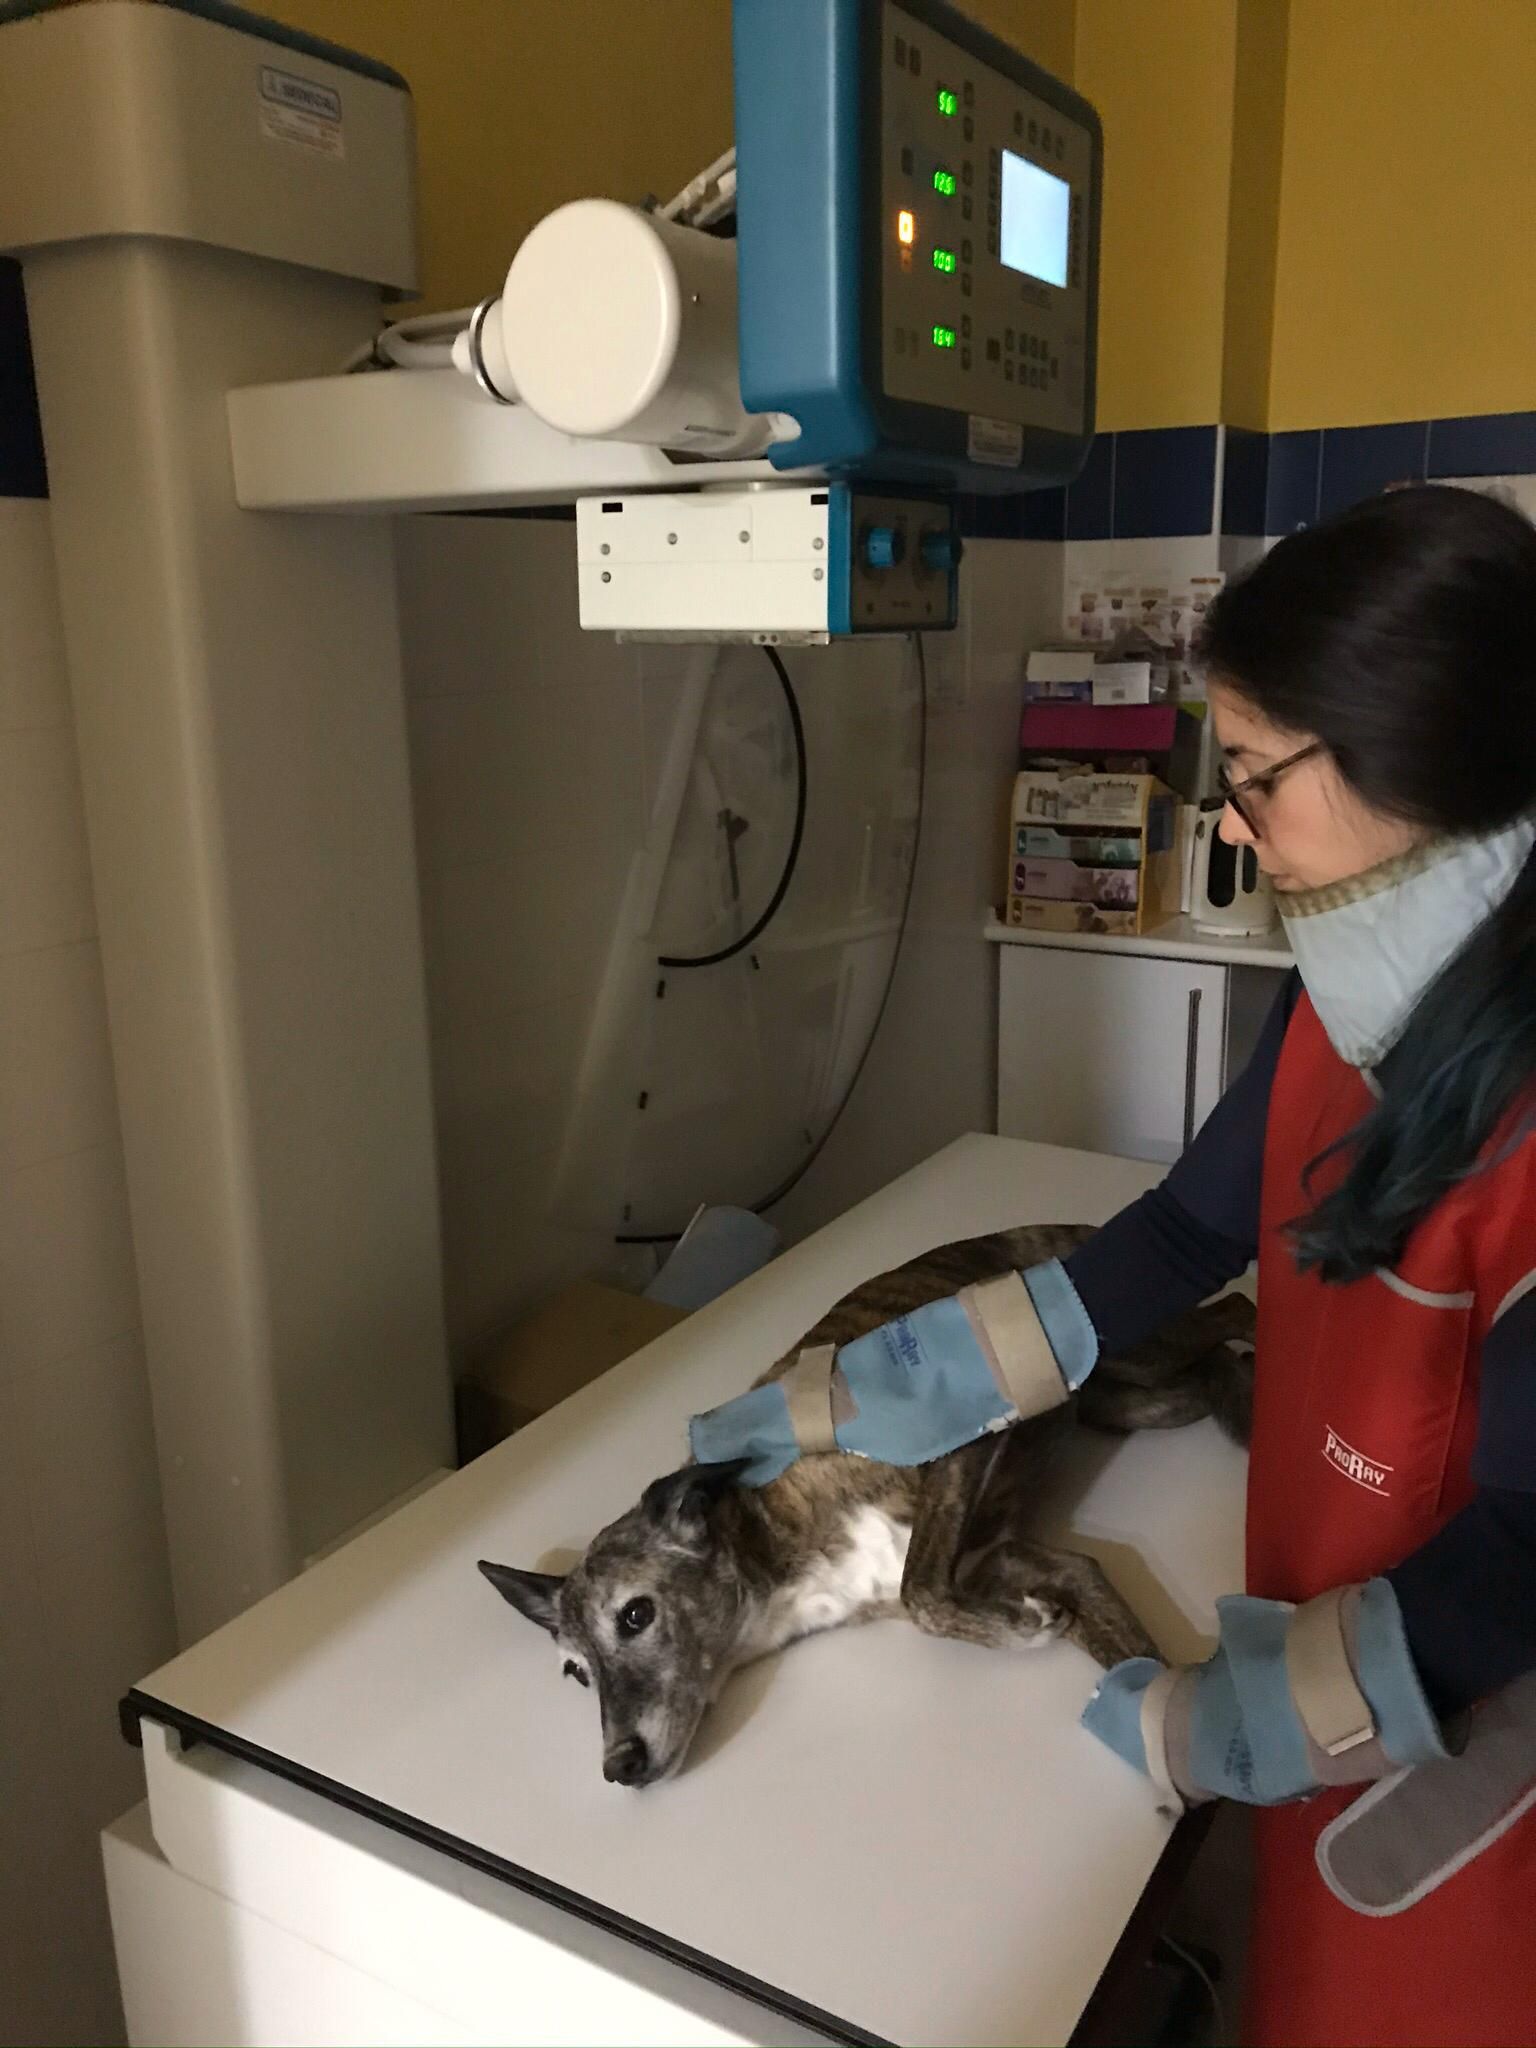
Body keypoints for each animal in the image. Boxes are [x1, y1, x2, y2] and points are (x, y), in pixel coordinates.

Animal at [487, 1220, 1253, 1785]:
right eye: (574, 1673)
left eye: (636, 1615)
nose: (619, 1767)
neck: (770, 1531)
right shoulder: (1018, 1557)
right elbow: (1128, 1654)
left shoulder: (958, 1452)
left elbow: (924, 1596)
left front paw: (1023, 1630)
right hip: (1134, 1400)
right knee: (1211, 1365)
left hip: (1138, 1344)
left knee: (1237, 1309)